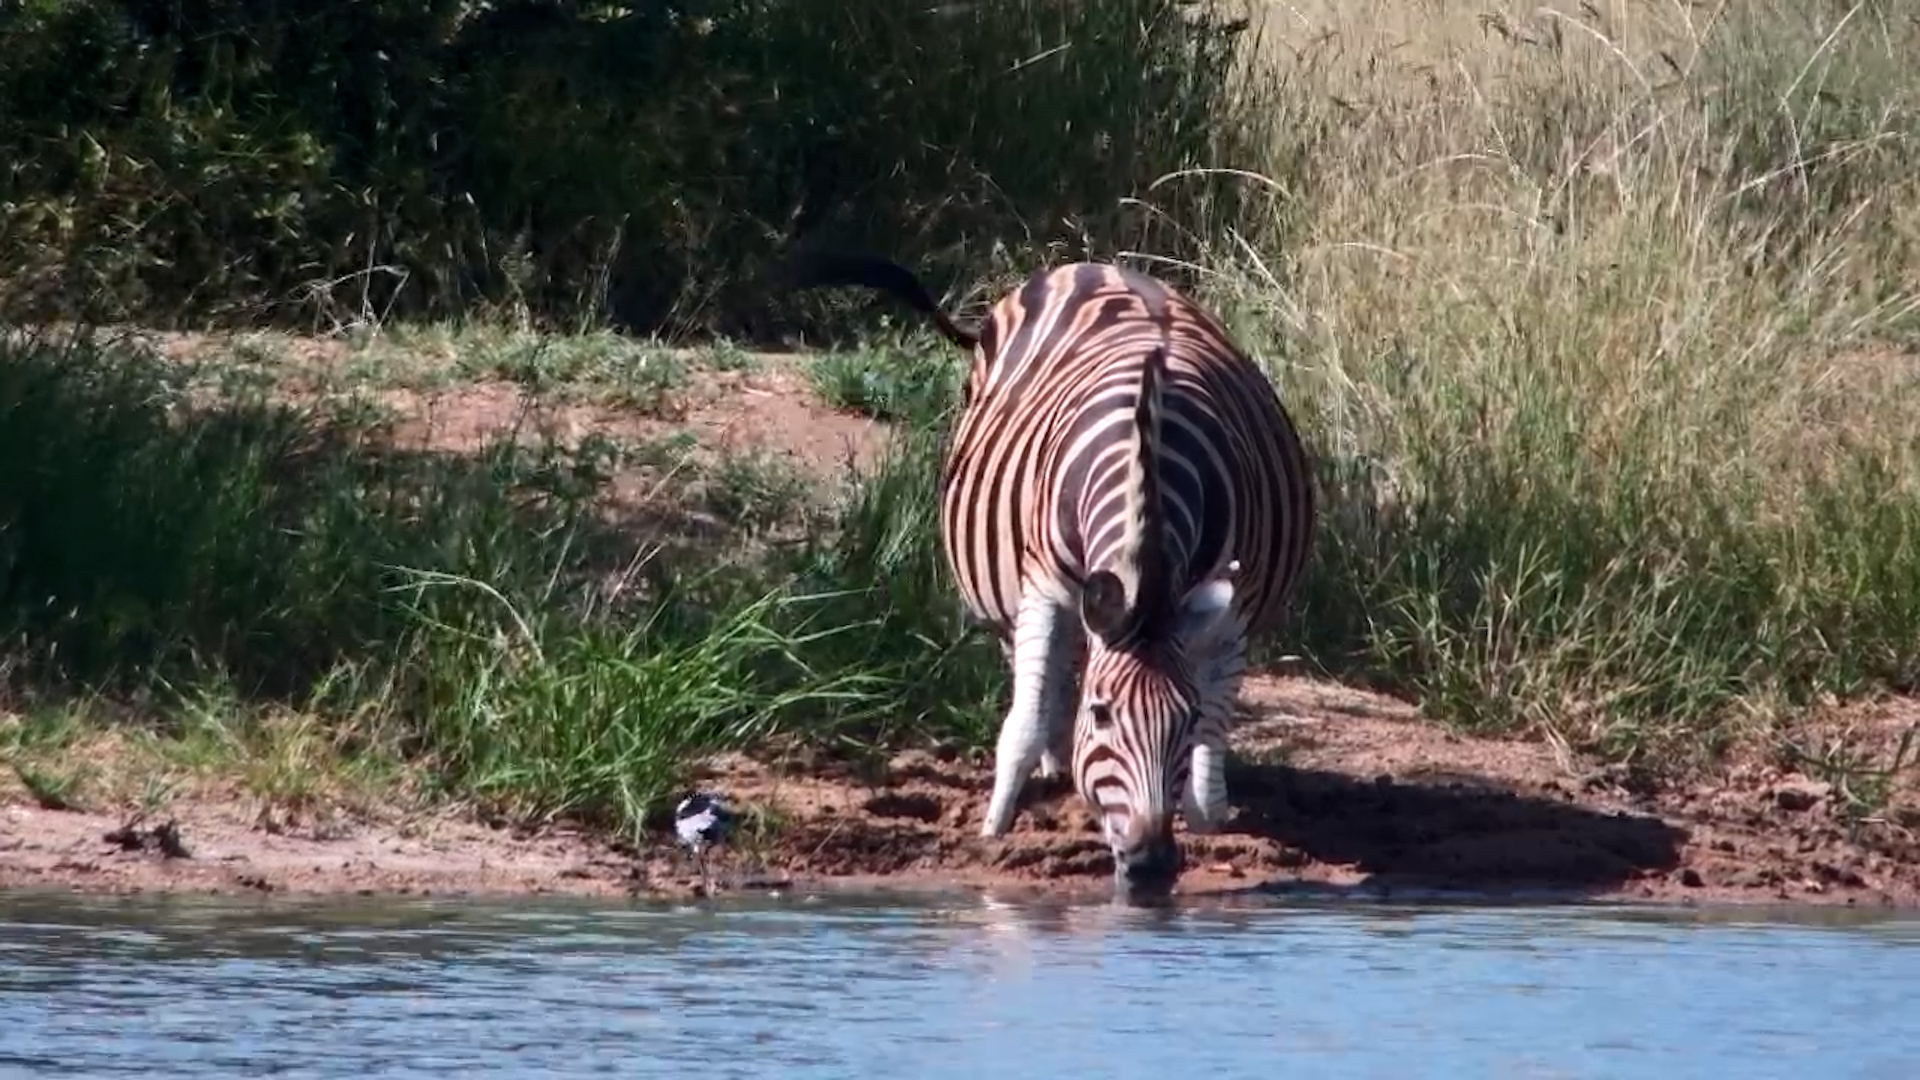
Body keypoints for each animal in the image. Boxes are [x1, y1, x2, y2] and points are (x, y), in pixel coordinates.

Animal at [786, 253, 1316, 896]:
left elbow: (1214, 727)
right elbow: (1024, 719)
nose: (1150, 868)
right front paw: (995, 825)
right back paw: (1051, 764)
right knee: (1034, 672)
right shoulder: (1043, 584)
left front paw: (1206, 813)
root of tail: (1091, 264)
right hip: (1013, 584)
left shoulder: (1226, 599)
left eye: (1183, 718)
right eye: (1103, 715)